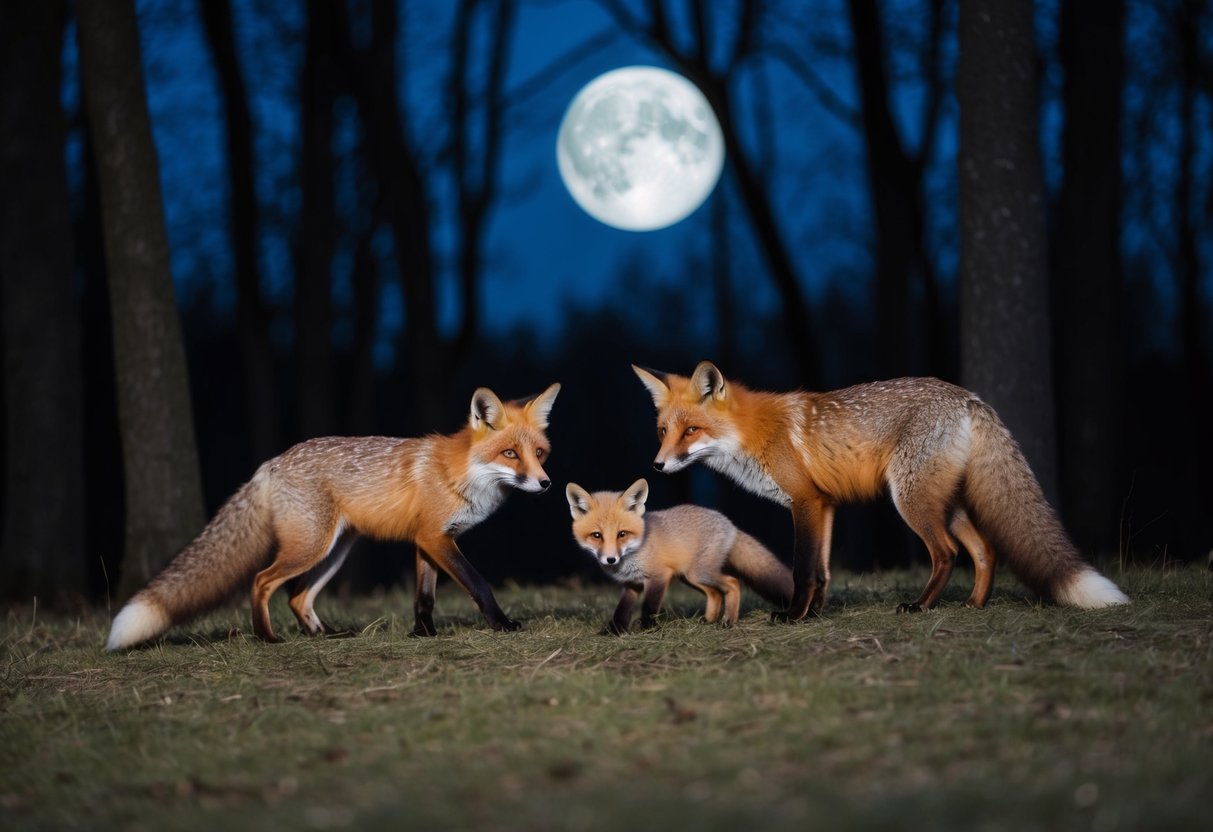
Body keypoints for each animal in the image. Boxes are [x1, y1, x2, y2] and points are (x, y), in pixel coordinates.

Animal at [105, 383, 561, 650]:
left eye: (538, 453)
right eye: (510, 454)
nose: (545, 484)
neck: (461, 473)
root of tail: (270, 463)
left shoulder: (426, 540)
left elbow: (424, 597)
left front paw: (422, 634)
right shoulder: (436, 538)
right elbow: (478, 583)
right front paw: (501, 623)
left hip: (334, 550)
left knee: (297, 595)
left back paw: (322, 635)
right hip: (311, 547)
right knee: (262, 582)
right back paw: (266, 638)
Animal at [566, 477, 793, 634]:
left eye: (622, 534)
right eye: (597, 535)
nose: (610, 559)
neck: (634, 552)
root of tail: (730, 524)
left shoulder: (659, 577)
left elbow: (649, 606)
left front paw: (648, 629)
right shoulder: (631, 584)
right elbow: (621, 610)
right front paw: (614, 632)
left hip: (701, 573)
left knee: (733, 583)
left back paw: (729, 621)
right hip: (689, 577)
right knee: (715, 593)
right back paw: (709, 620)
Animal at [632, 361, 1129, 620]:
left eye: (691, 431)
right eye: (662, 432)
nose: (657, 465)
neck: (754, 434)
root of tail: (968, 397)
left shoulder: (805, 503)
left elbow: (803, 568)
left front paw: (793, 616)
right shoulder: (826, 505)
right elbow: (823, 570)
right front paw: (815, 614)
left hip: (910, 500)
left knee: (947, 553)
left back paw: (921, 605)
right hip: (945, 501)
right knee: (984, 549)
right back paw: (973, 603)